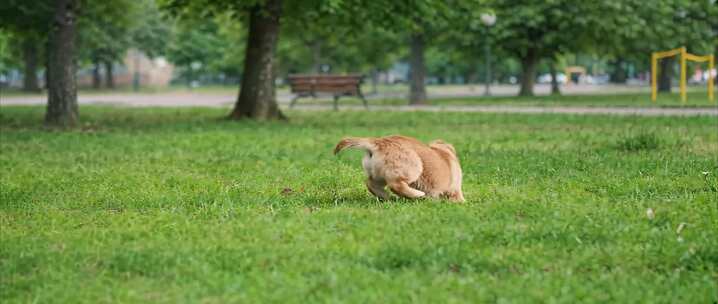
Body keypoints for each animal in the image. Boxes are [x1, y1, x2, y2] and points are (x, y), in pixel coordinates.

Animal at [334, 135, 466, 202]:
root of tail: (377, 141)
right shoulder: (455, 190)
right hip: (412, 168)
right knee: (396, 185)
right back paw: (417, 194)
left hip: (378, 174)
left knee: (370, 183)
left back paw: (385, 196)